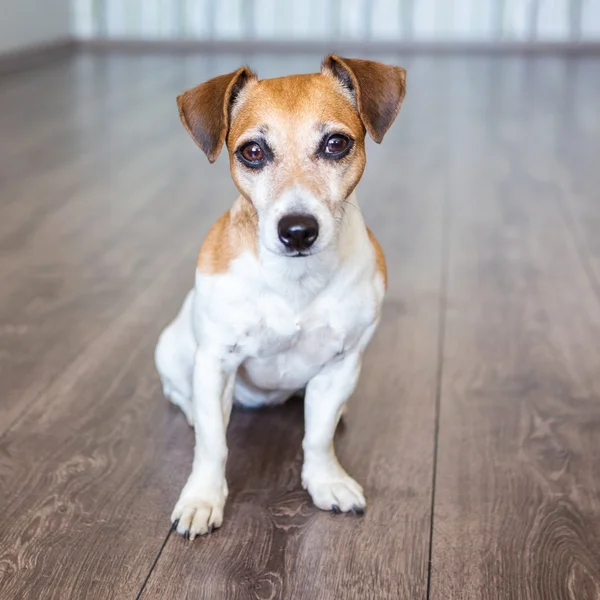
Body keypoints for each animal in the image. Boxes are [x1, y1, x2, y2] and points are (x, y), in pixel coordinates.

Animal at [156, 55, 408, 540]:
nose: (297, 231)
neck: (295, 281)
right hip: (172, 349)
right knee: (183, 396)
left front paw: (326, 480)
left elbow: (318, 437)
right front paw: (202, 498)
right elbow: (212, 445)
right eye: (252, 152)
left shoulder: (342, 363)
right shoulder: (215, 362)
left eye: (335, 144)